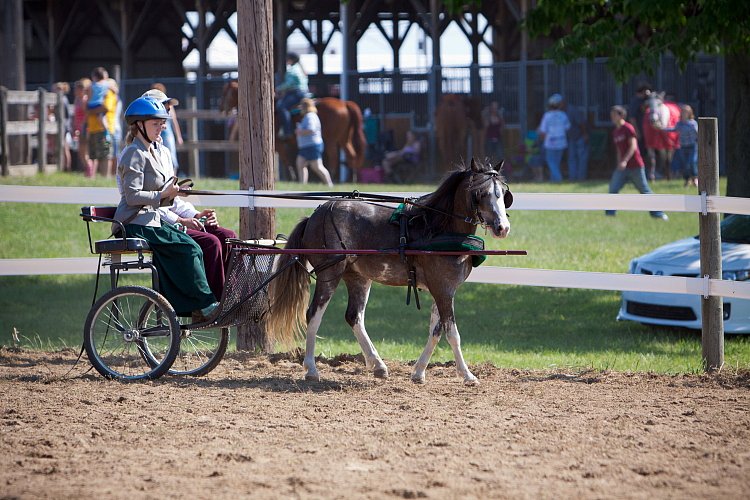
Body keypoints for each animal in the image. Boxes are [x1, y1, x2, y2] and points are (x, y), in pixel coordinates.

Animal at [268, 158, 516, 384]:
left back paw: (378, 365)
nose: (502, 228)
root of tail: (314, 215)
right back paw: (311, 369)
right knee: (313, 315)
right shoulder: (443, 289)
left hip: (358, 277)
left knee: (354, 316)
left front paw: (418, 372)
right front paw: (467, 375)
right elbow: (452, 333)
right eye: (480, 193)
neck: (439, 228)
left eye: (503, 193)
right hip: (329, 274)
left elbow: (436, 331)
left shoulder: (444, 290)